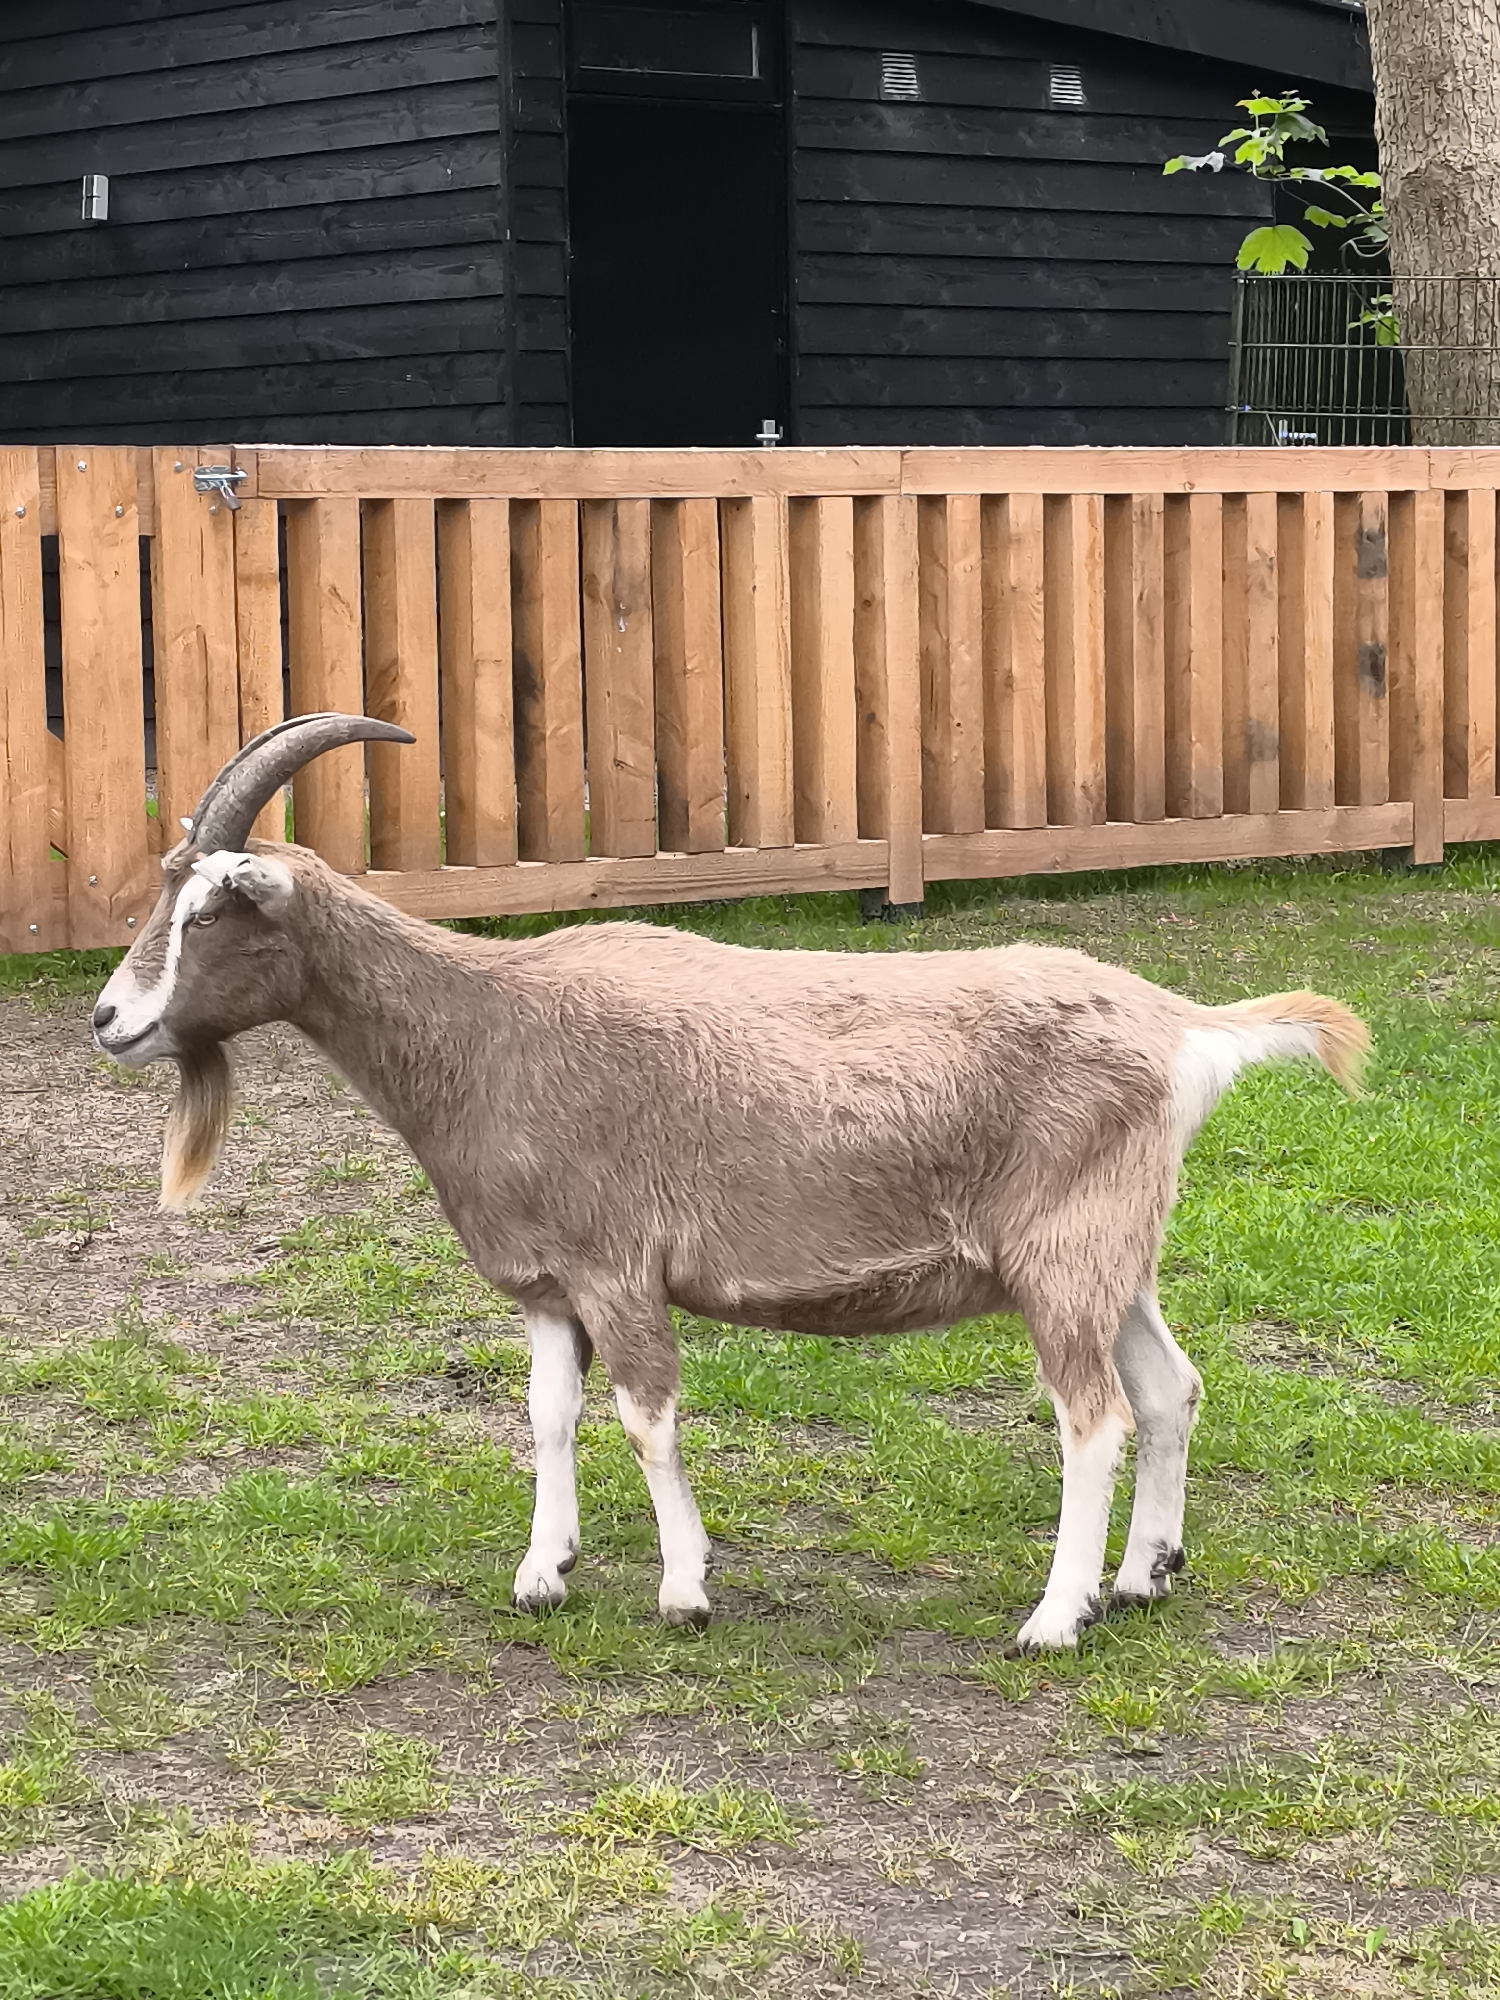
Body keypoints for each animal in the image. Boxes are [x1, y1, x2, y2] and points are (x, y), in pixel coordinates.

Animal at [92, 715, 1368, 1651]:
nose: (108, 1018)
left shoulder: (619, 1265)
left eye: (213, 906)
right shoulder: (548, 1285)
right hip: (1114, 1253)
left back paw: (1057, 1616)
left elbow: (646, 1415)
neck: (488, 1025)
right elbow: (548, 1412)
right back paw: (1146, 1575)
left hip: (1061, 1255)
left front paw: (685, 1590)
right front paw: (543, 1570)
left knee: (1092, 1416)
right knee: (1169, 1387)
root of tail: (1183, 1027)